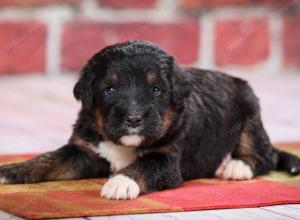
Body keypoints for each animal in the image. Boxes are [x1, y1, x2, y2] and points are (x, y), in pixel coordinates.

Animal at [0, 40, 300, 200]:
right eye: (110, 89)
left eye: (155, 89)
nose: (133, 119)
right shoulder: (83, 150)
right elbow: (48, 160)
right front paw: (10, 170)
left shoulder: (166, 159)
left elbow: (142, 167)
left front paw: (120, 182)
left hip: (249, 115)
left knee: (266, 155)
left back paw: (235, 167)